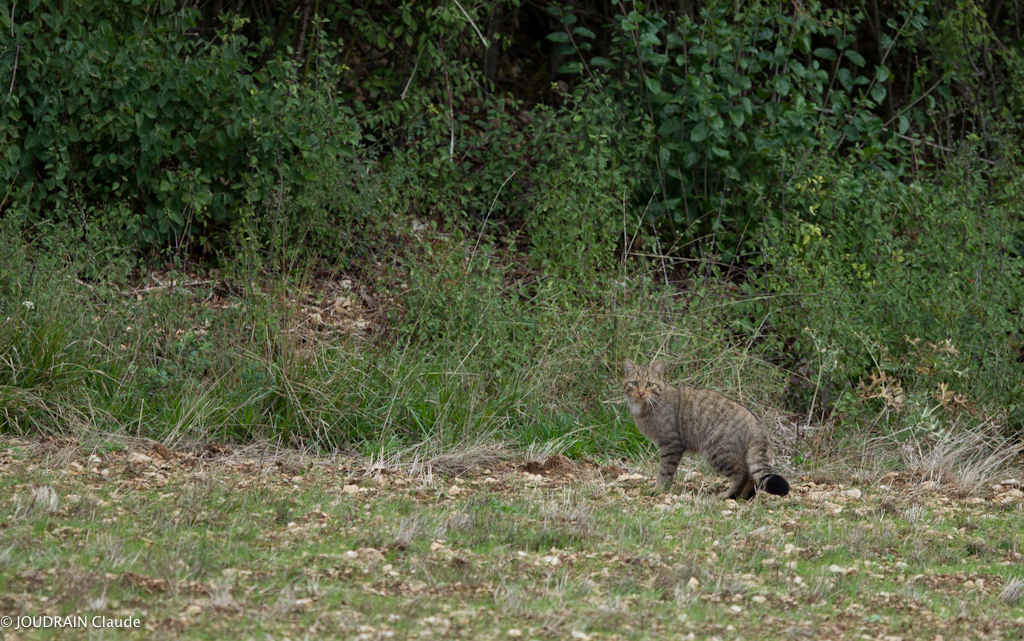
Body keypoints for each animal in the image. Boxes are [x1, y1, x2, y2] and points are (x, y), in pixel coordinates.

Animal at [618, 356, 786, 497]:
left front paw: (658, 489)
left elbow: (665, 470)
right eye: (634, 383)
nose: (640, 393)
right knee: (751, 476)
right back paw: (743, 497)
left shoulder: (672, 444)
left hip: (716, 451)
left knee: (743, 474)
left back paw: (727, 495)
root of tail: (759, 425)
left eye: (649, 384)